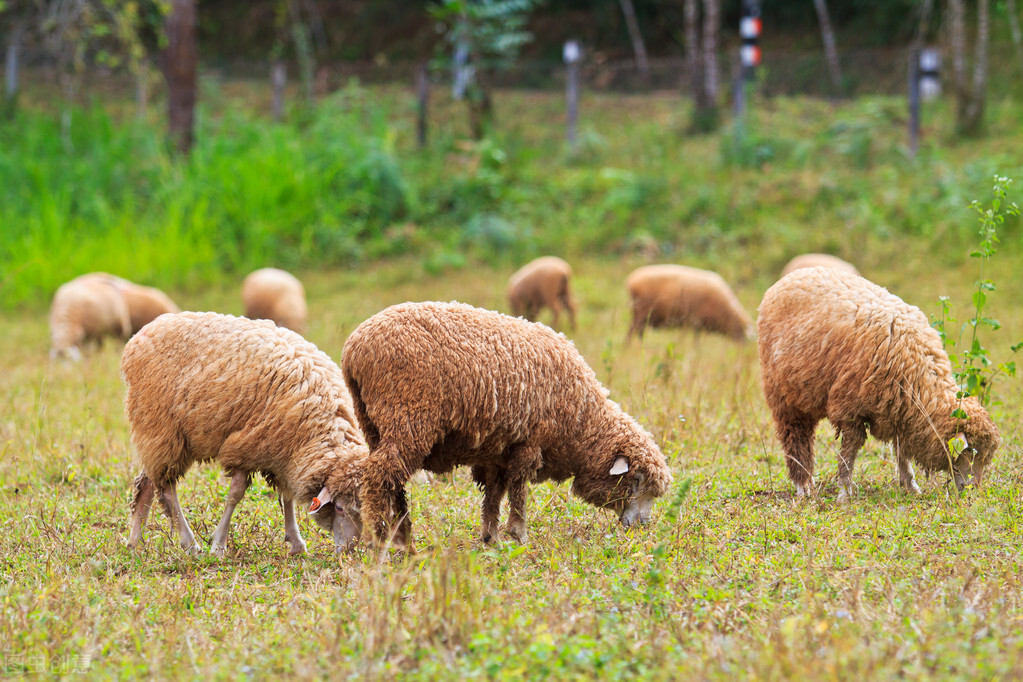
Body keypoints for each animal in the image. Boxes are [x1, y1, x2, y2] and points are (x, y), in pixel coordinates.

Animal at [124, 312, 366, 556]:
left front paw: (296, 542)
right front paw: (218, 546)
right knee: (167, 489)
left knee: (147, 484)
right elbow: (235, 495)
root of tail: (142, 334)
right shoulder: (245, 447)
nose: (349, 549)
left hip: (159, 436)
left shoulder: (284, 452)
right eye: (339, 508)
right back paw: (190, 544)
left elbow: (287, 496)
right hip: (161, 427)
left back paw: (135, 543)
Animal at [343, 300, 675, 552]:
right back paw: (382, 539)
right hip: (408, 417)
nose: (642, 527)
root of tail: (354, 349)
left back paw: (405, 538)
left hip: (375, 424)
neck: (580, 421)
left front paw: (491, 538)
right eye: (636, 481)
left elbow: (494, 494)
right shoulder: (529, 442)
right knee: (377, 477)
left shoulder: (498, 450)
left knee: (393, 482)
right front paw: (518, 533)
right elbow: (518, 489)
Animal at [617, 265, 757, 341]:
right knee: (632, 332)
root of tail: (631, 280)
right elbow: (696, 343)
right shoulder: (696, 321)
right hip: (640, 313)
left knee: (638, 332)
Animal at [757, 267, 1002, 501]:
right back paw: (803, 486)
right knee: (796, 440)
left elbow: (901, 452)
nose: (973, 490)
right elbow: (848, 455)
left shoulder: (901, 412)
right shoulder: (850, 410)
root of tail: (786, 279)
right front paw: (845, 493)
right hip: (784, 398)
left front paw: (910, 485)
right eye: (972, 453)